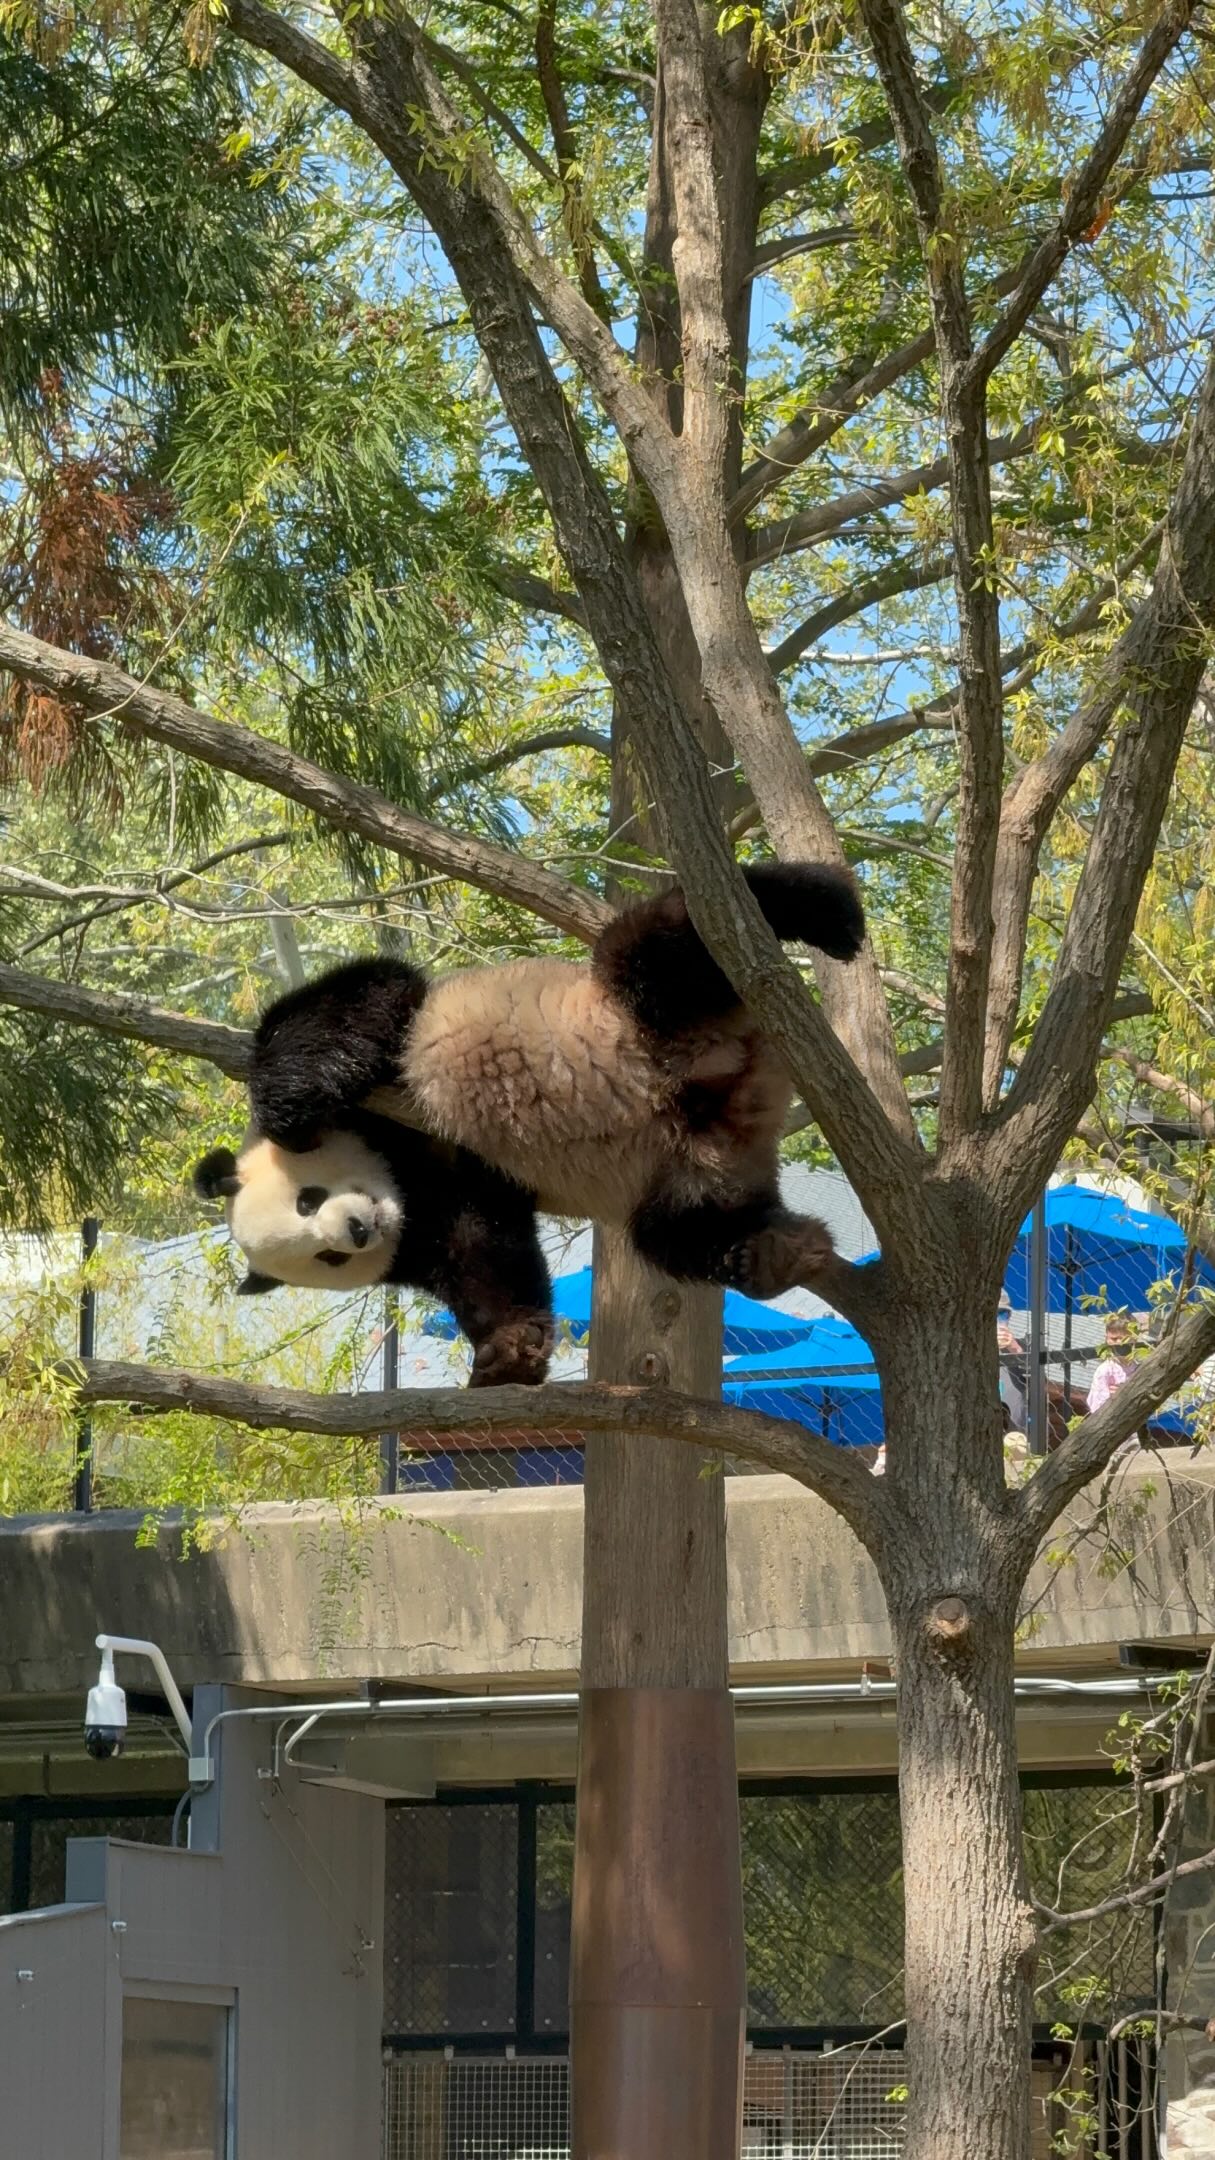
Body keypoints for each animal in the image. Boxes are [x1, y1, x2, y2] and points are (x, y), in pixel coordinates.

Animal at [193, 862, 863, 1386]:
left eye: (308, 1198)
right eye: (326, 1257)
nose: (358, 1230)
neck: (397, 1176)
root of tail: (740, 1091)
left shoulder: (401, 1082)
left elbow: (362, 1000)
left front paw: (288, 1111)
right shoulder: (442, 1206)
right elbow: (485, 1251)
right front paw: (511, 1350)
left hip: (641, 1010)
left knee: (663, 947)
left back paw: (825, 910)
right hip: (690, 1170)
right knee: (679, 1229)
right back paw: (771, 1250)